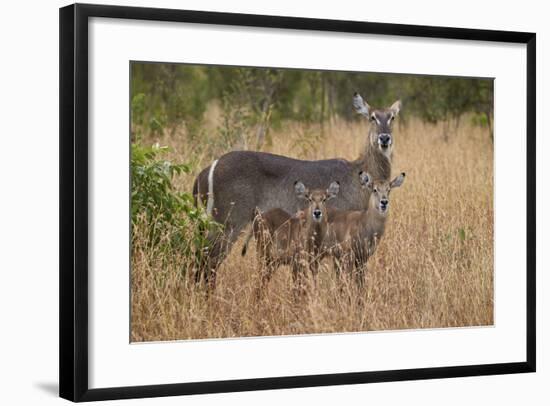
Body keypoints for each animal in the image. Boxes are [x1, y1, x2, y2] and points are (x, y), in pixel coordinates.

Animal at [196, 93, 404, 284]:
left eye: (392, 117)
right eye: (372, 117)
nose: (384, 138)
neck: (358, 175)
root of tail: (207, 170)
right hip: (227, 223)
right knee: (207, 261)